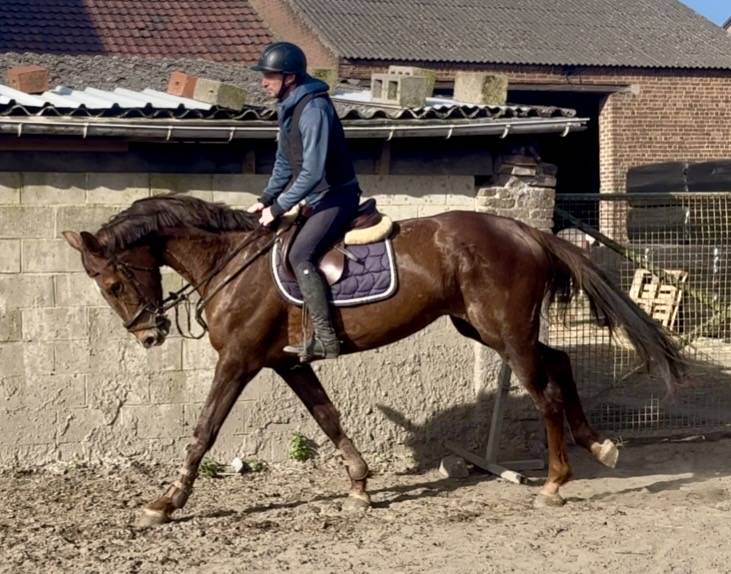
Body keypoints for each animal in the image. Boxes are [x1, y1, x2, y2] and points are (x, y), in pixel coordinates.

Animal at [62, 193, 684, 526]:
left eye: (113, 283)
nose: (149, 335)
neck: (231, 263)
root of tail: (521, 228)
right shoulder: (289, 362)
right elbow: (327, 417)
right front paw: (361, 486)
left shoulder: (238, 361)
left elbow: (204, 431)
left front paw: (166, 502)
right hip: (488, 328)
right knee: (559, 364)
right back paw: (599, 445)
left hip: (502, 331)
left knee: (545, 390)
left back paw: (556, 482)